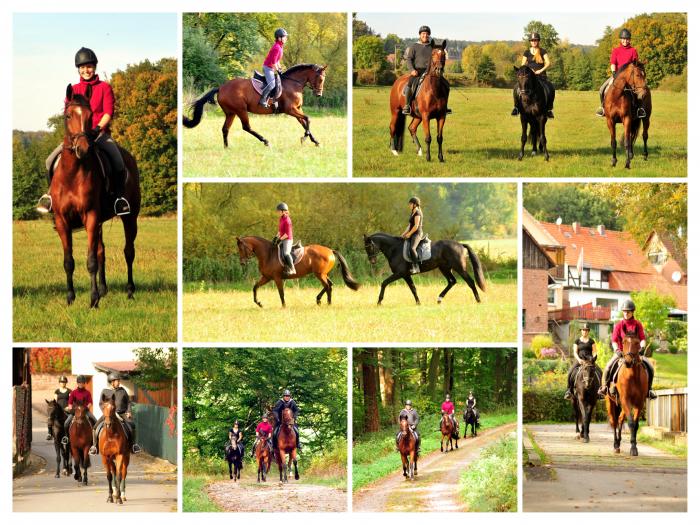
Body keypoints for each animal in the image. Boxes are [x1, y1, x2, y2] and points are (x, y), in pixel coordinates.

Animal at [49, 84, 141, 310]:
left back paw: (129, 291)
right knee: (102, 251)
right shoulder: (62, 220)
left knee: (129, 251)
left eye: (91, 116)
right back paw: (104, 289)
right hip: (100, 222)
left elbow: (90, 261)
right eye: (67, 115)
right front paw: (71, 298)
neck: (72, 174)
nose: (83, 148)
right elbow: (69, 261)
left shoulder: (90, 216)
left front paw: (93, 300)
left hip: (129, 217)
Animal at [185, 65, 330, 148]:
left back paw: (226, 147)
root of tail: (221, 88)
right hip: (241, 110)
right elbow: (308, 119)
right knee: (246, 127)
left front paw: (314, 140)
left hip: (231, 112)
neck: (293, 84)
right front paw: (304, 137)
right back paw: (265, 141)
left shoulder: (297, 109)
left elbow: (304, 122)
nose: (319, 94)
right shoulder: (290, 110)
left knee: (225, 129)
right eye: (320, 79)